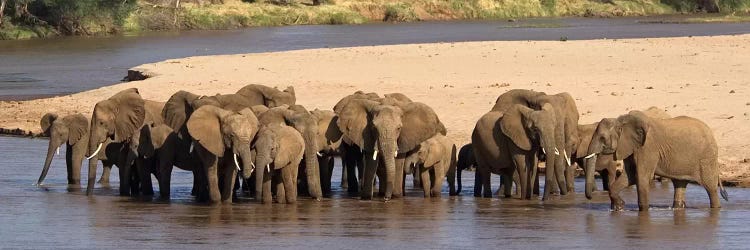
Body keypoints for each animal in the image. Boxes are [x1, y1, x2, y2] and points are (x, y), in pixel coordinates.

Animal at [584, 111, 732, 211]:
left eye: (602, 138)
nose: (591, 198)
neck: (621, 121)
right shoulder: (632, 146)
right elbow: (630, 176)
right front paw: (620, 207)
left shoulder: (648, 147)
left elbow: (642, 177)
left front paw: (643, 211)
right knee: (680, 184)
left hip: (706, 158)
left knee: (710, 188)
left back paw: (716, 207)